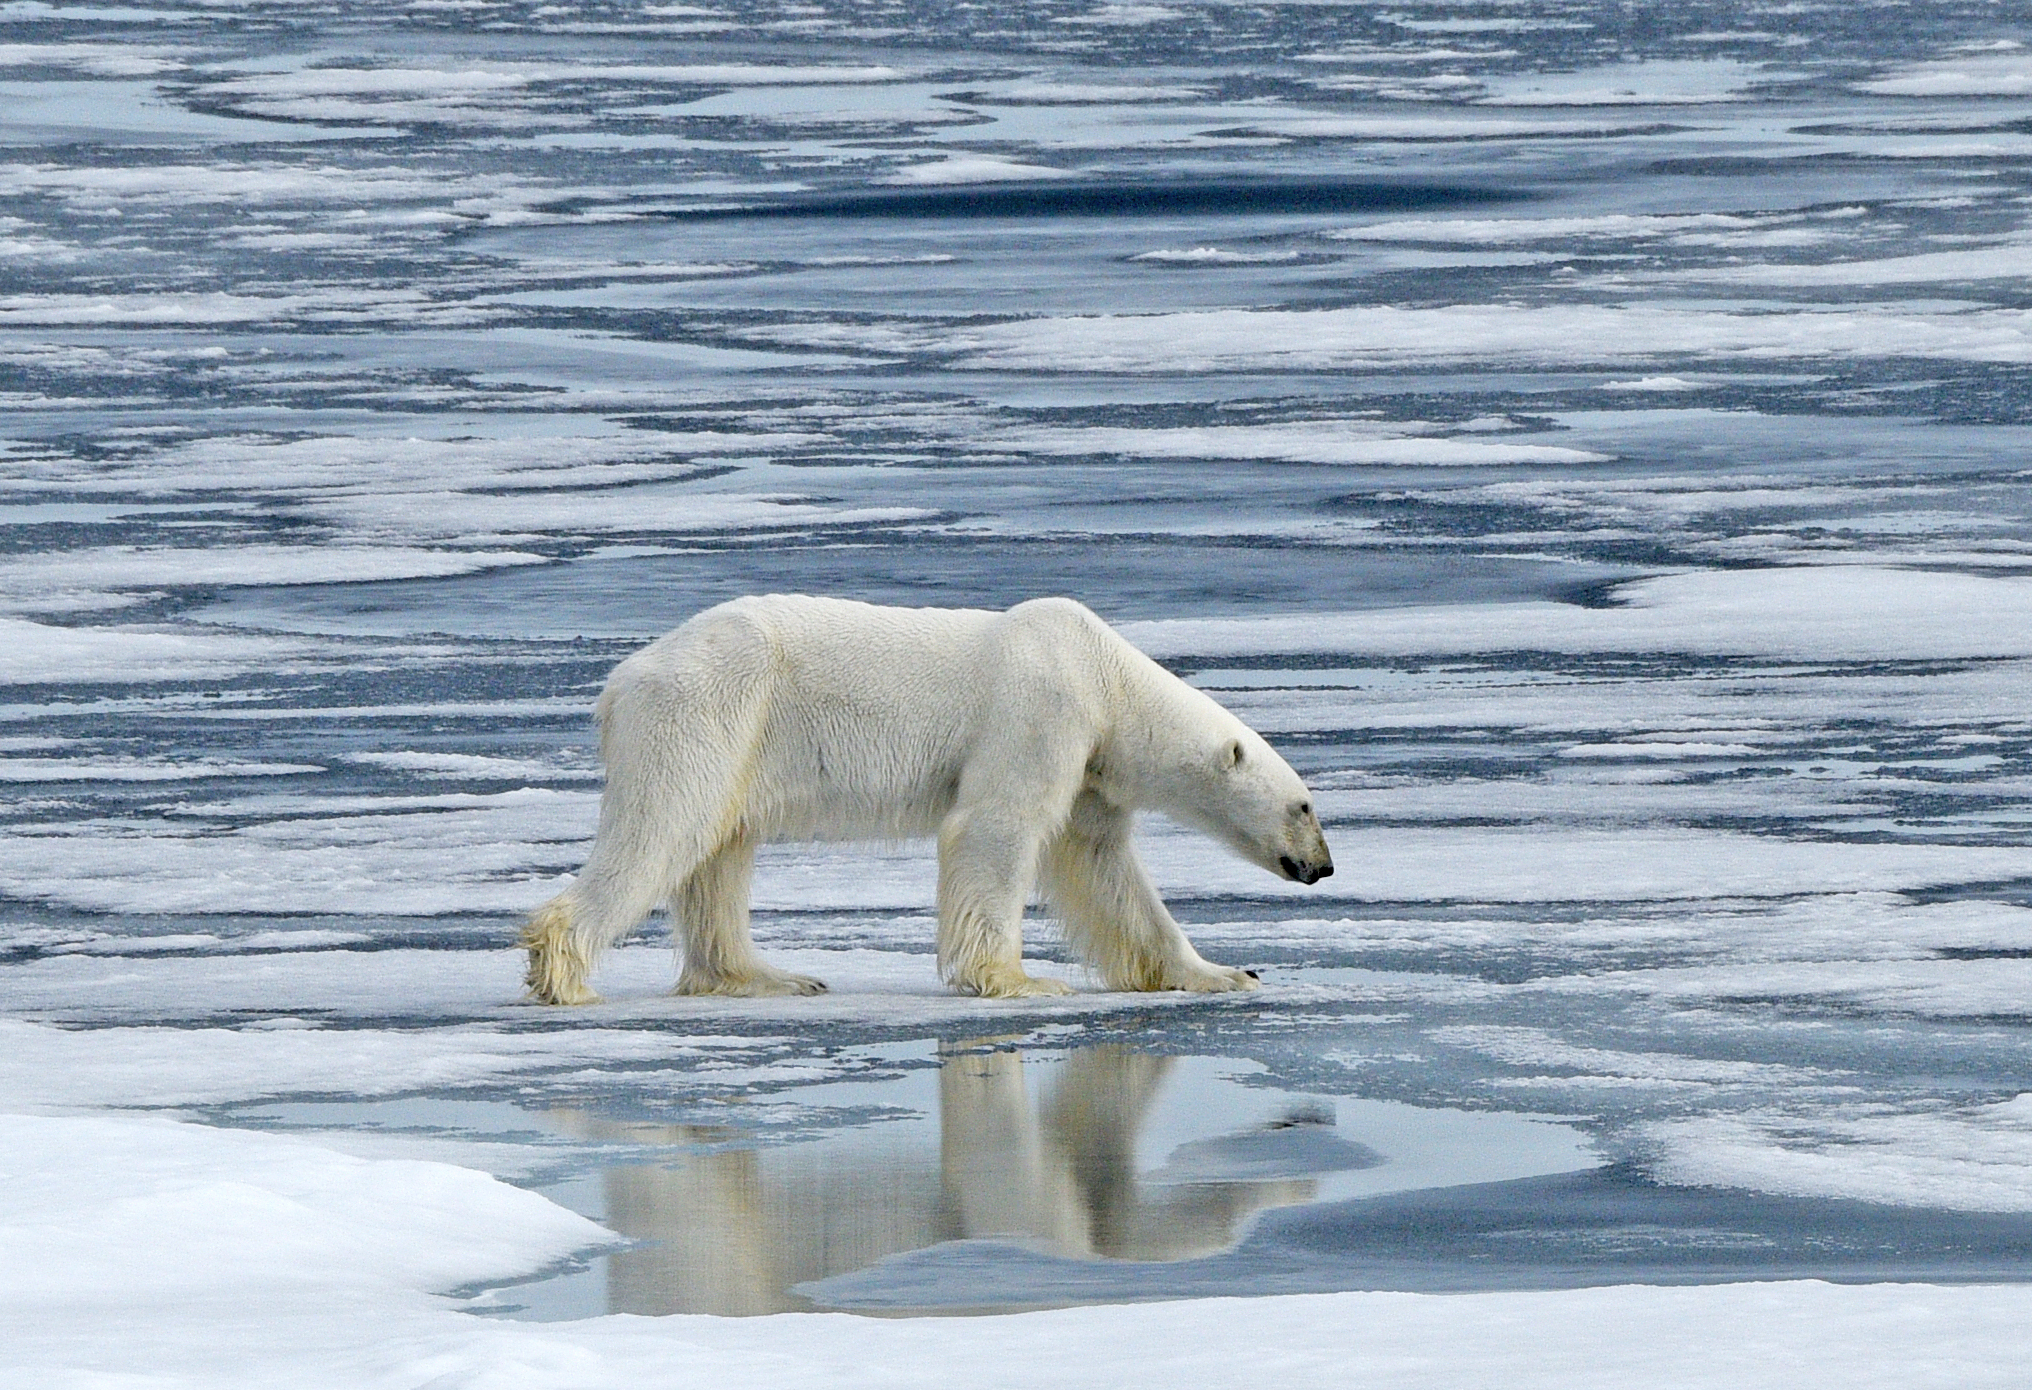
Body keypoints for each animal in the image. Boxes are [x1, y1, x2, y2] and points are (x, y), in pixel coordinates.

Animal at [520, 593, 1332, 1003]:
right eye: (1304, 807)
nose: (1323, 866)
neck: (1105, 674)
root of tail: (619, 681)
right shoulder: (1041, 710)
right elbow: (995, 828)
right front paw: (1019, 979)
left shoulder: (1092, 767)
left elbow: (1106, 871)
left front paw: (1225, 973)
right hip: (708, 710)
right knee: (666, 827)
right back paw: (564, 975)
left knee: (719, 850)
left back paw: (769, 976)